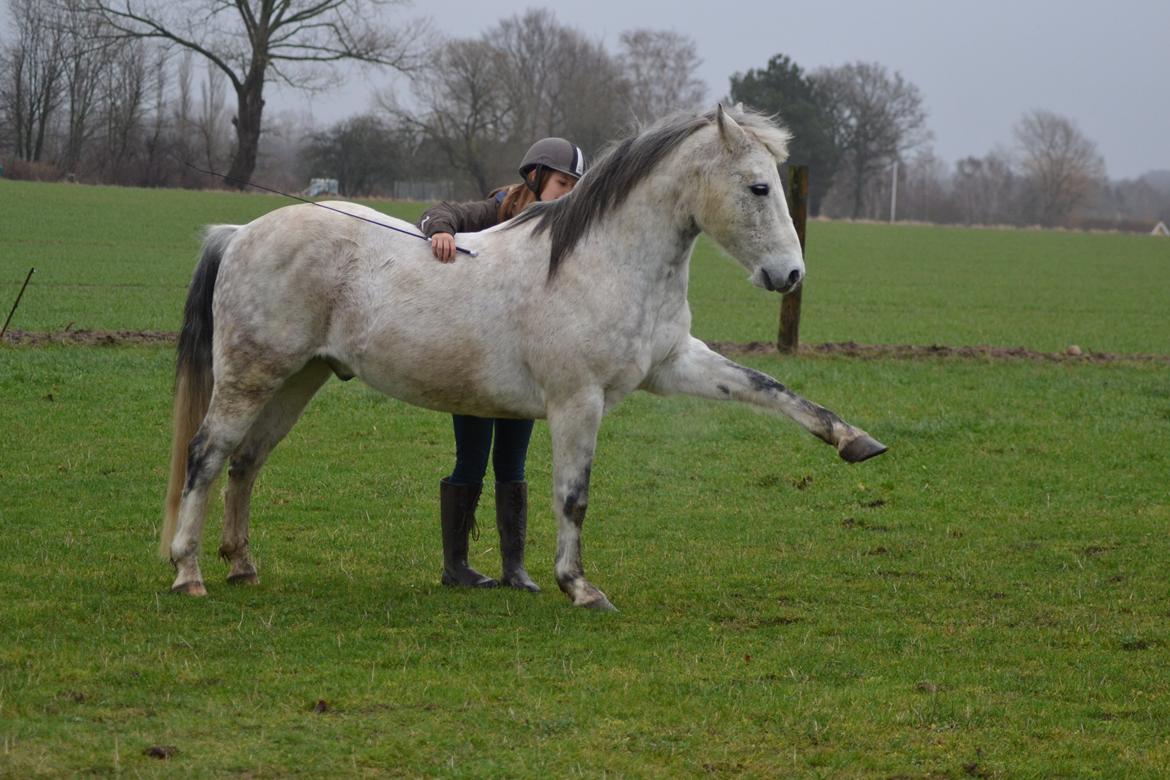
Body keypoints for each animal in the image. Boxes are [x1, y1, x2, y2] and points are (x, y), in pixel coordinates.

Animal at [162, 107, 884, 608]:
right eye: (759, 188)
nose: (789, 275)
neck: (606, 261)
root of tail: (242, 232)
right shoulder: (577, 402)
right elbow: (573, 495)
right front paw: (579, 586)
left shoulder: (674, 366)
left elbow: (769, 388)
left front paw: (854, 441)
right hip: (252, 376)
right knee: (207, 455)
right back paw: (189, 572)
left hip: (298, 379)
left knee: (247, 461)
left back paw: (241, 565)